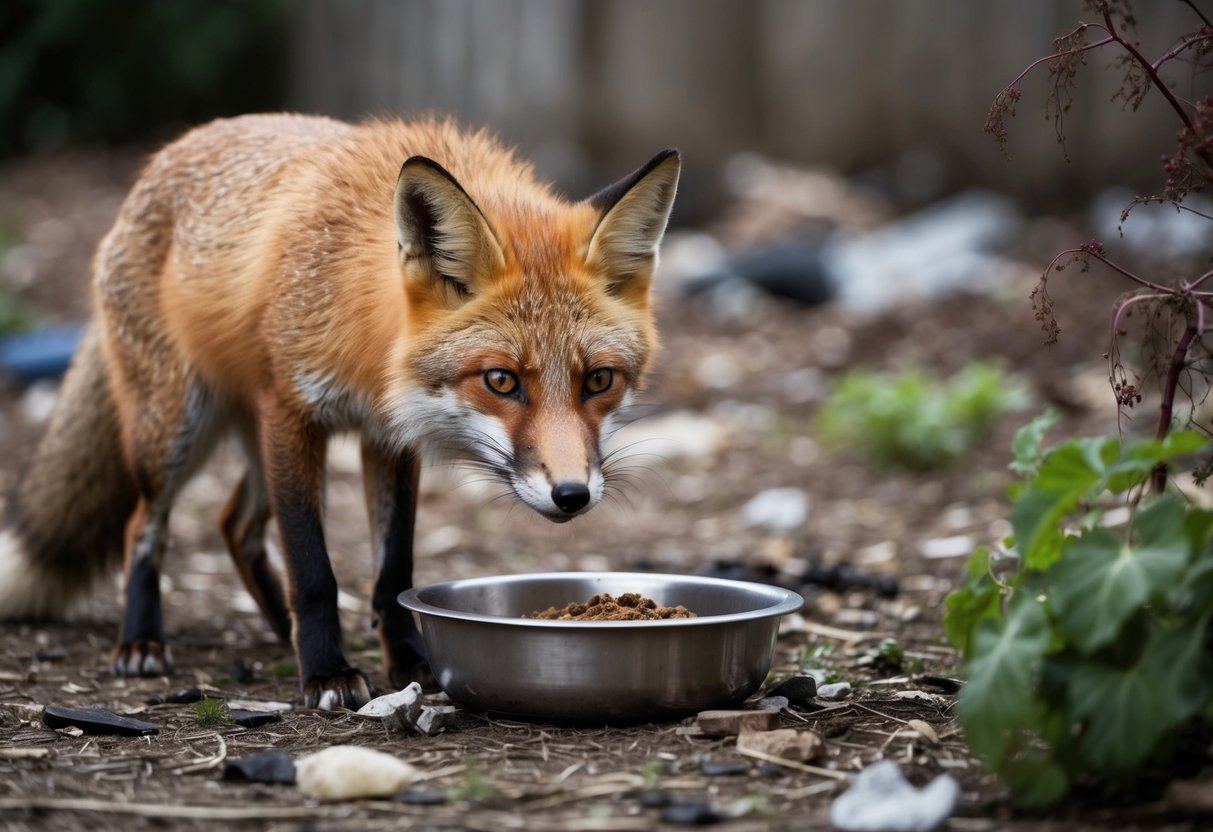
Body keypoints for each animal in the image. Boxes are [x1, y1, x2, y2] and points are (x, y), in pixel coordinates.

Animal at [0, 113, 679, 710]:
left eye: (599, 380)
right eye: (501, 381)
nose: (572, 496)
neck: (370, 359)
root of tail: (164, 156)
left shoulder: (391, 437)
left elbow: (392, 571)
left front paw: (408, 660)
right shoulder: (291, 412)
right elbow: (313, 568)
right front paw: (326, 673)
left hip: (244, 441)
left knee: (233, 523)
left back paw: (281, 631)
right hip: (173, 431)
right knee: (145, 524)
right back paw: (143, 640)